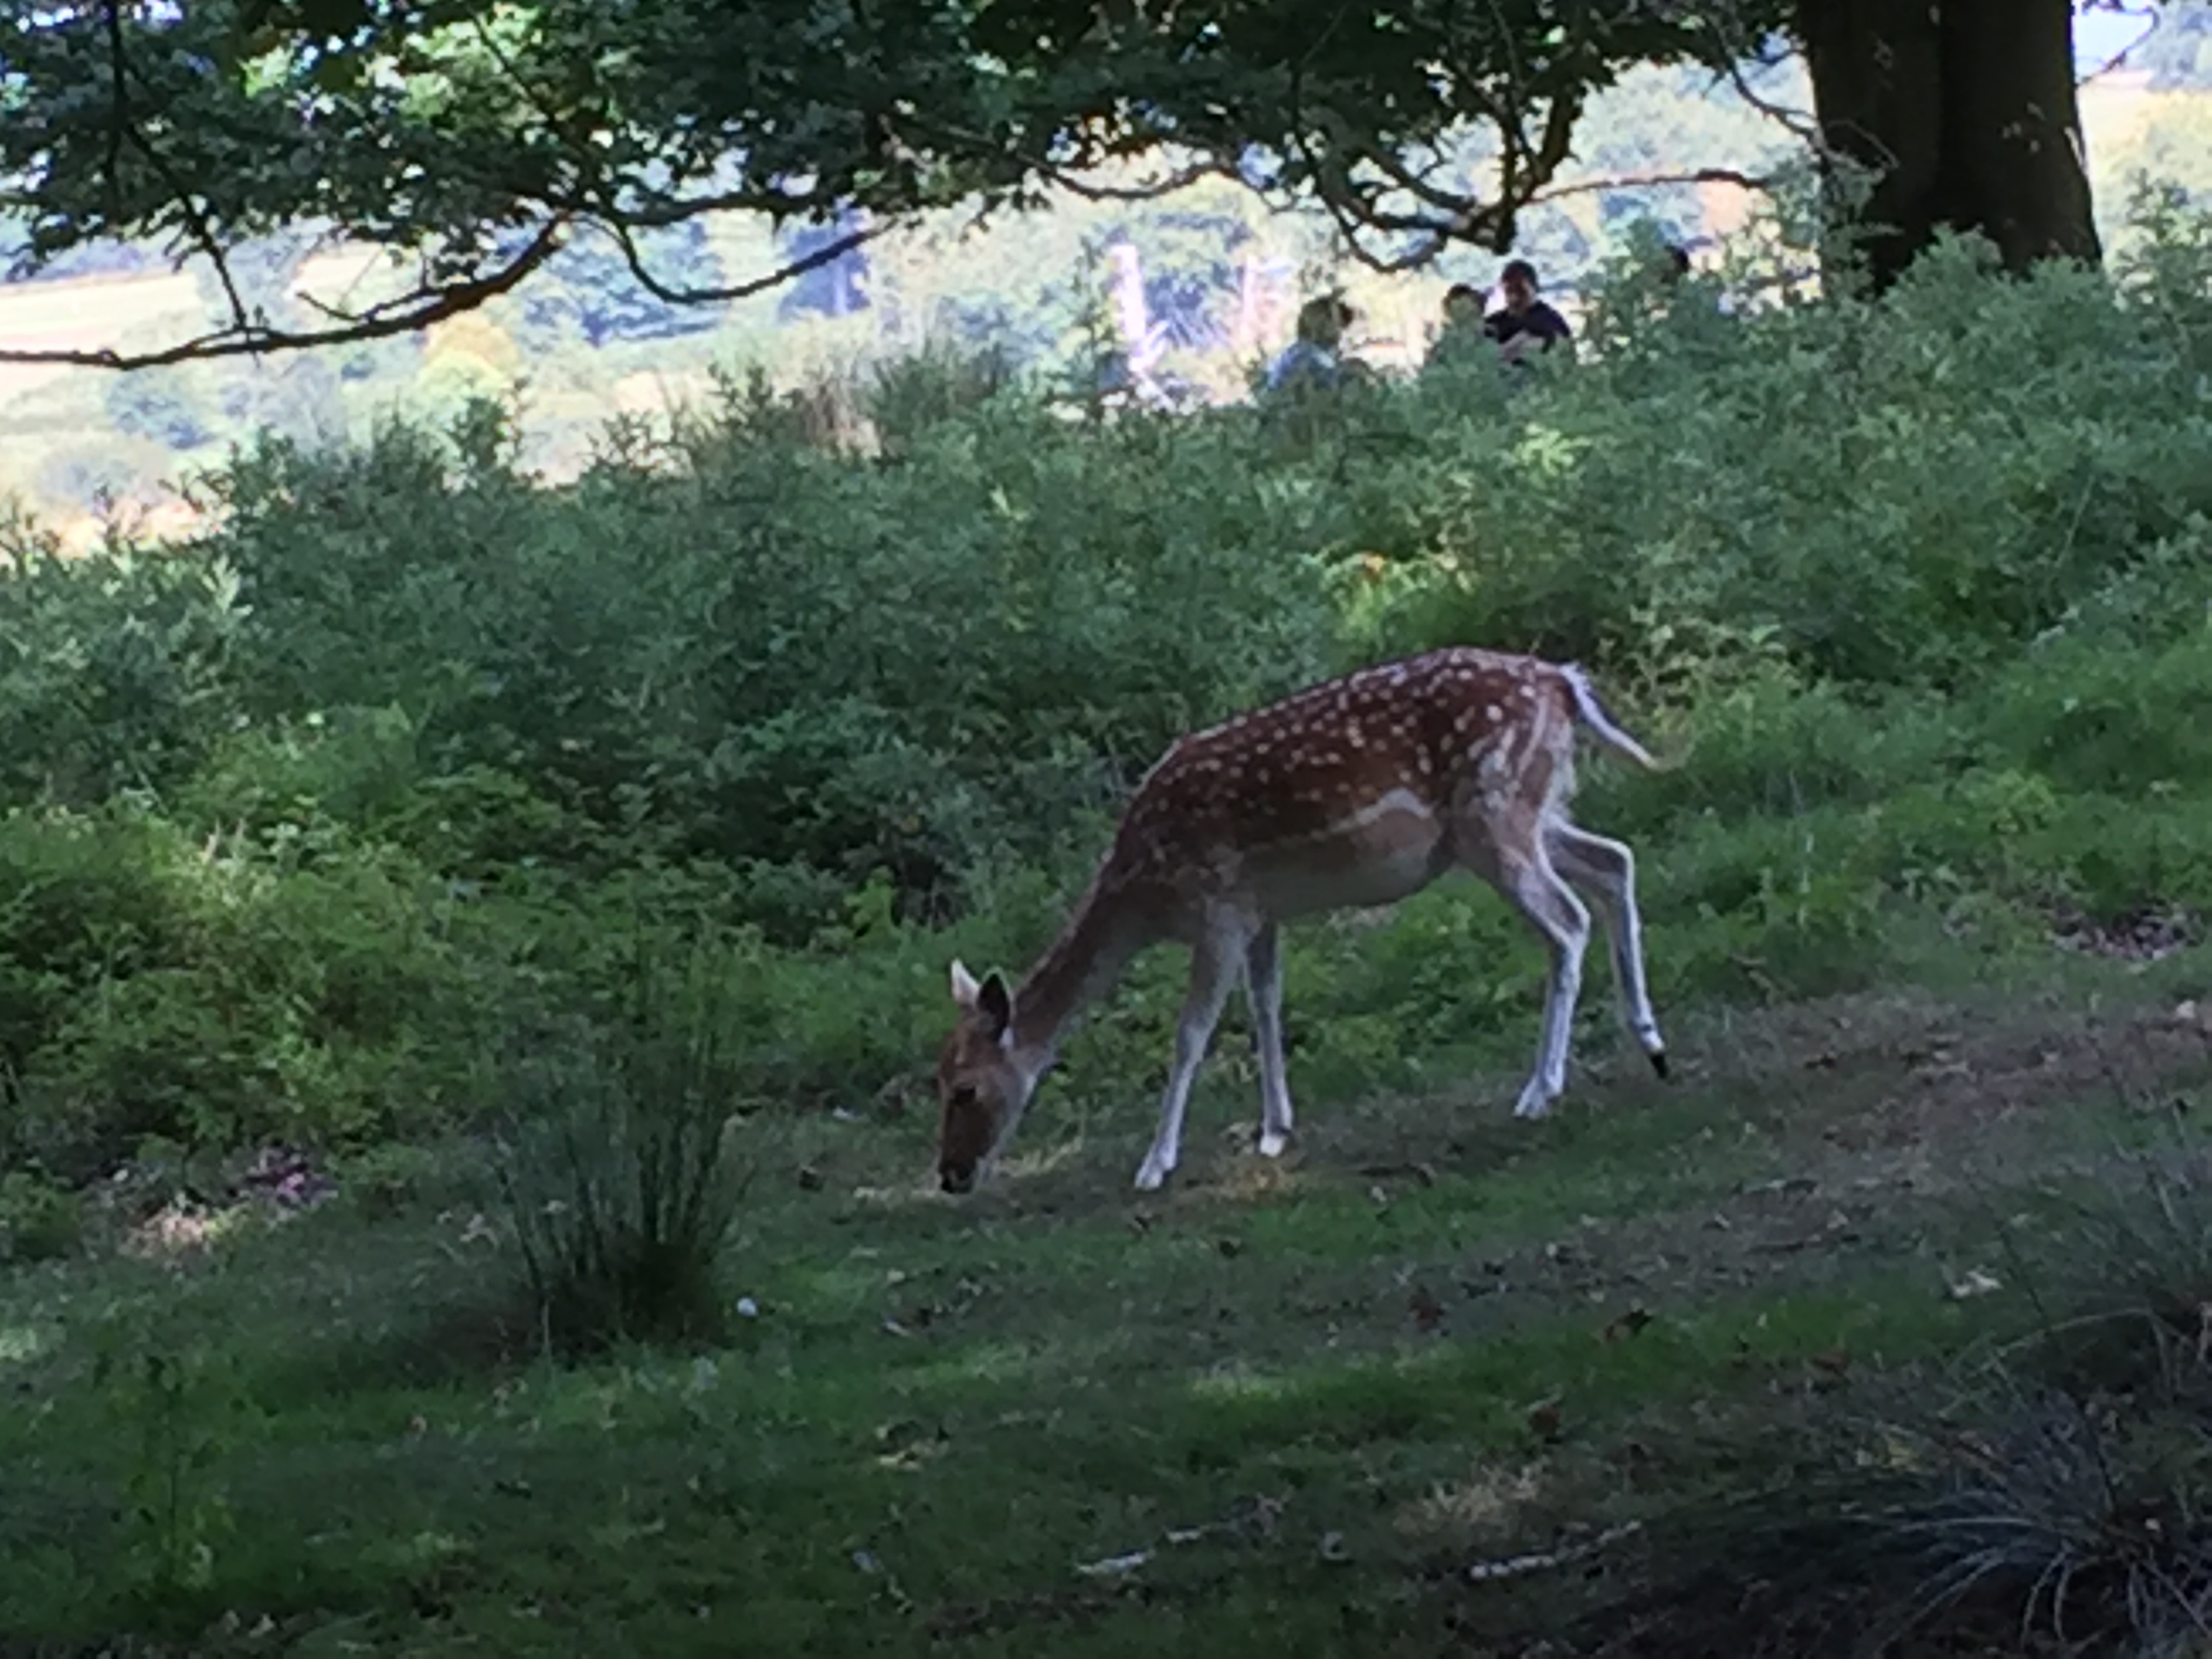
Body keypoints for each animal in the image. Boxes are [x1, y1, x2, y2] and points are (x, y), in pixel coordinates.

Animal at [934, 646, 1671, 1196]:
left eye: (965, 1090)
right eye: (936, 1080)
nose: (949, 1175)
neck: (1143, 892)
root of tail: (1563, 682)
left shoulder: (1218, 907)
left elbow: (1191, 1033)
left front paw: (1154, 1164)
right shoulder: (1262, 913)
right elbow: (1266, 1004)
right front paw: (1273, 1130)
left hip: (1495, 813)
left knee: (1568, 921)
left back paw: (1541, 1089)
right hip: (1536, 811)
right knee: (1616, 861)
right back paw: (1651, 1043)